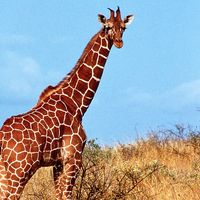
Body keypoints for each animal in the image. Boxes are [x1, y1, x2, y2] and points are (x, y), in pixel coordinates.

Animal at [0, 7, 134, 199]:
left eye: (123, 27)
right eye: (107, 26)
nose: (118, 42)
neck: (76, 104)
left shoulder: (58, 162)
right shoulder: (74, 158)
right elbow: (66, 195)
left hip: (5, 172)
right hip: (19, 171)